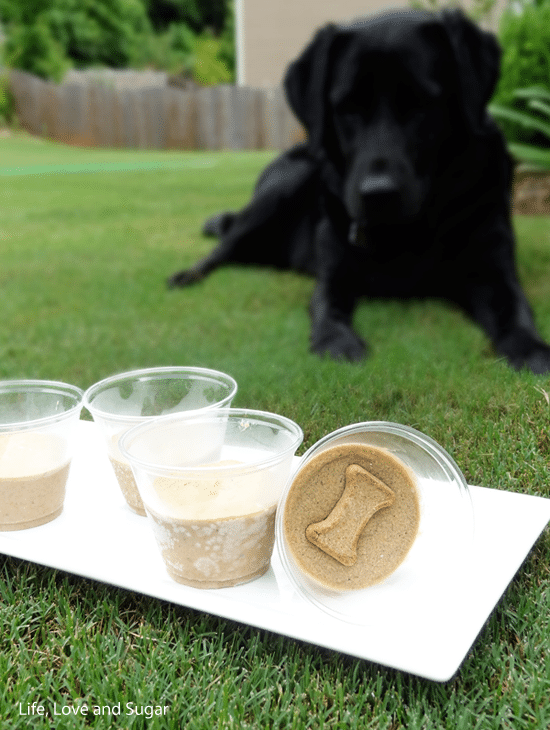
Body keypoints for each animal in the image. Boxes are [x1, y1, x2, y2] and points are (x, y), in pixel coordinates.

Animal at [170, 9, 550, 376]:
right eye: (347, 108)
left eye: (421, 105)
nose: (377, 194)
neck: (410, 231)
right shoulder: (333, 274)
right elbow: (327, 307)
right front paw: (336, 342)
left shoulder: (491, 266)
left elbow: (513, 309)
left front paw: (531, 350)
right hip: (281, 189)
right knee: (223, 247)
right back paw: (188, 275)